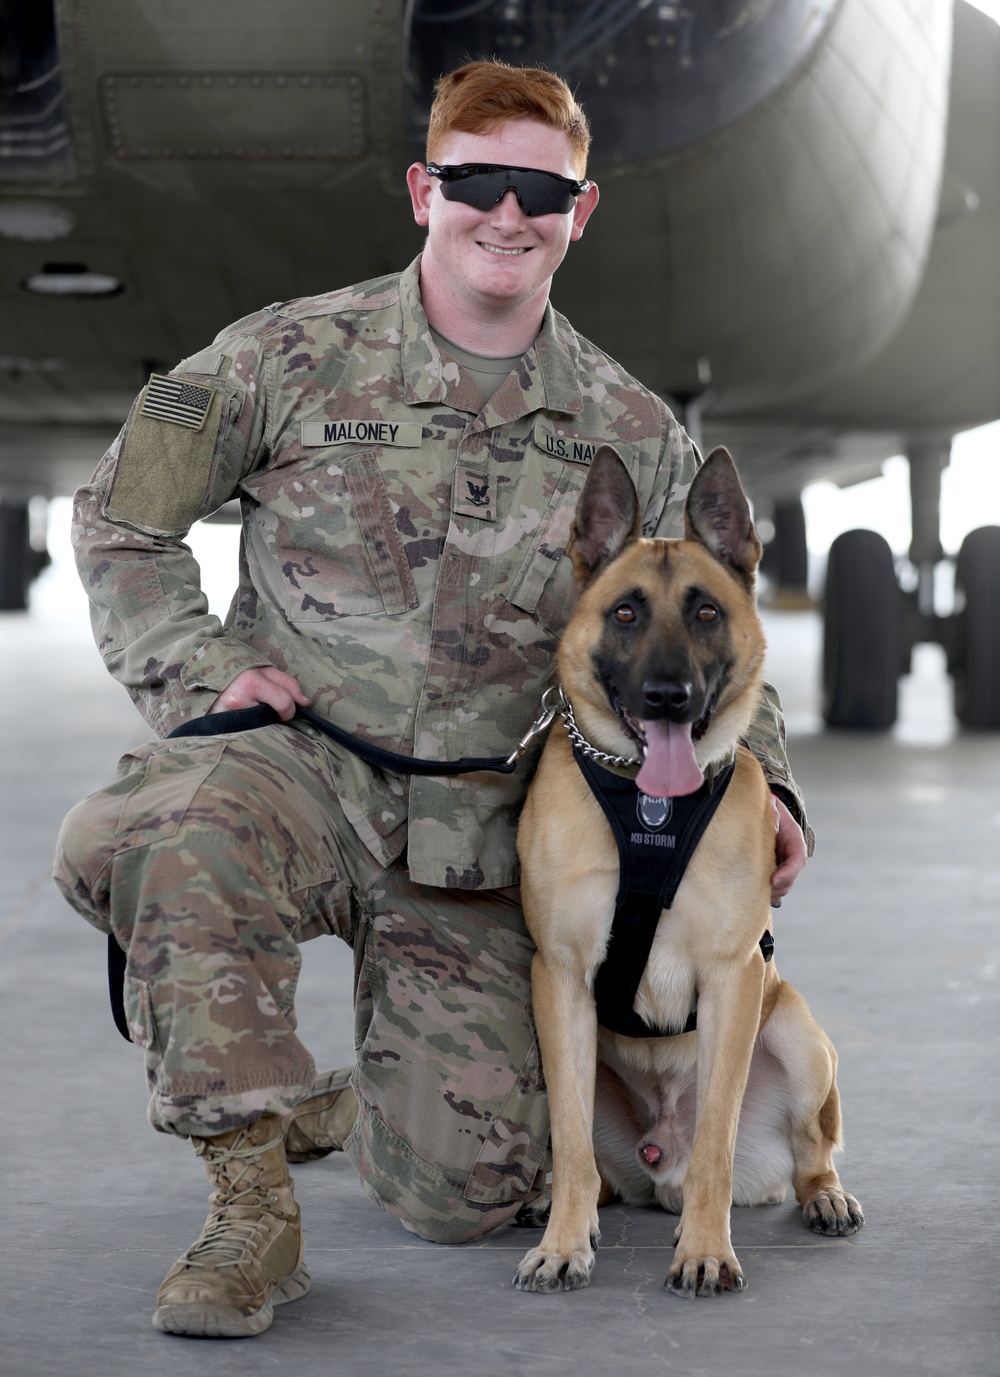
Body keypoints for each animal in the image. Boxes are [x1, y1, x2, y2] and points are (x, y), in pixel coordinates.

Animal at [512, 446, 865, 1294]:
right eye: (626, 613)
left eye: (706, 613)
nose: (667, 696)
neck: (649, 808)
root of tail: (655, 1165)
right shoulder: (559, 976)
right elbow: (570, 1137)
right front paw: (564, 1242)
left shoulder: (733, 978)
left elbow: (714, 1143)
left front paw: (706, 1250)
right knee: (594, 1167)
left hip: (799, 1036)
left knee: (809, 1151)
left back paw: (825, 1197)